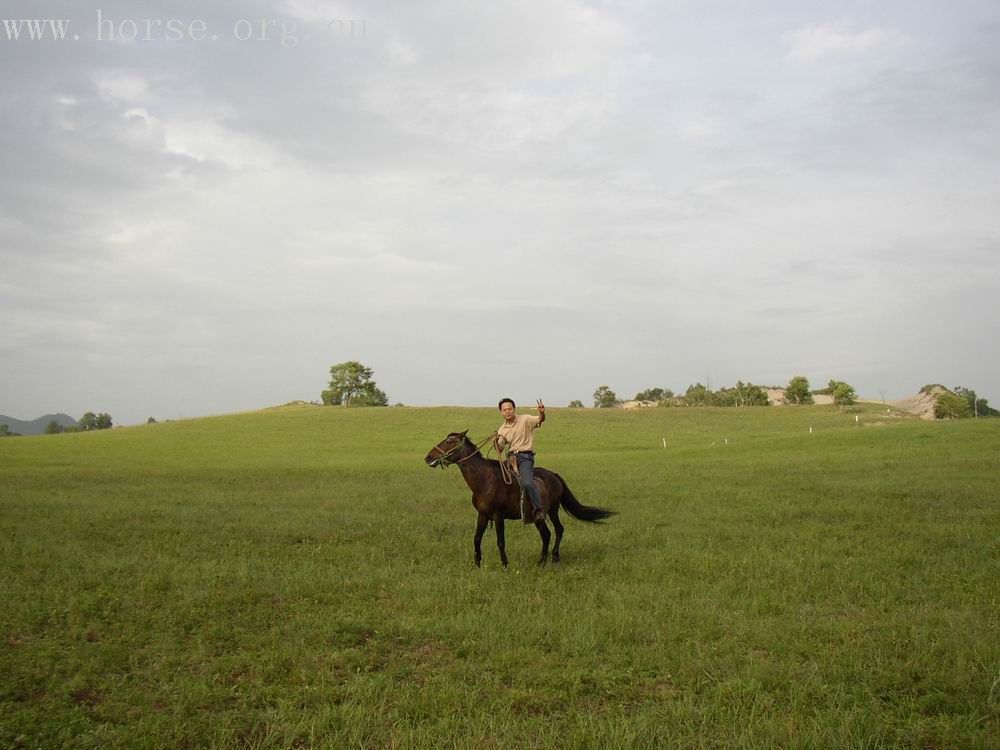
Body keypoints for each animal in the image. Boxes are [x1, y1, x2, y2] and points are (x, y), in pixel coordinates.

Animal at [424, 432, 612, 568]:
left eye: (449, 441)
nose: (428, 457)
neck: (485, 480)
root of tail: (554, 475)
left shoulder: (498, 516)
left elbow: (500, 542)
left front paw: (505, 565)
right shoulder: (483, 515)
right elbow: (477, 538)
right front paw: (477, 564)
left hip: (549, 511)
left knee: (553, 531)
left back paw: (544, 560)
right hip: (545, 514)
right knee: (553, 531)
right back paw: (551, 558)